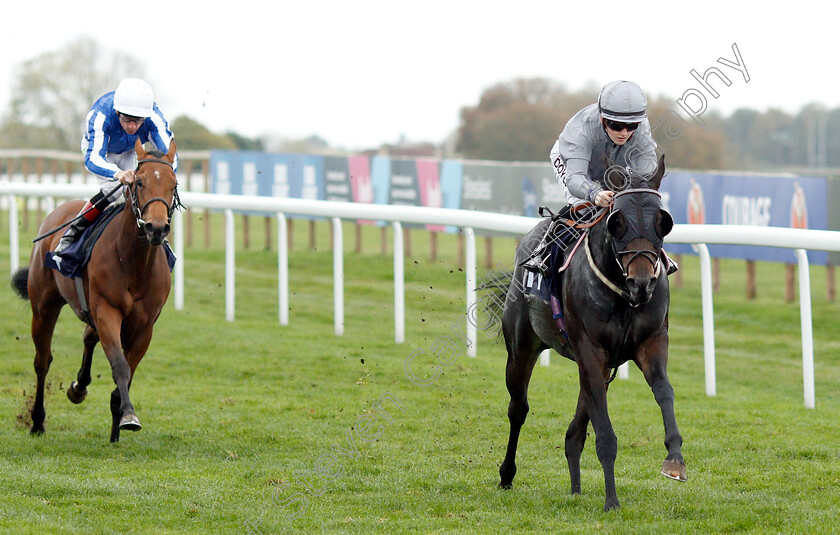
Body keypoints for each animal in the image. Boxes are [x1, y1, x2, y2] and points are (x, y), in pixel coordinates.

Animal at [10, 139, 181, 444]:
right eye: (139, 182)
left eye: (173, 184)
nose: (157, 228)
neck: (133, 262)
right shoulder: (107, 311)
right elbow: (120, 366)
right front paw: (128, 416)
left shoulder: (145, 326)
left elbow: (128, 370)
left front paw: (118, 424)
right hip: (44, 307)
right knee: (42, 361)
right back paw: (38, 421)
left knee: (88, 336)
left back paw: (79, 387)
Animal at [488, 156, 684, 510]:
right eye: (618, 221)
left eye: (662, 221)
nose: (642, 282)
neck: (623, 293)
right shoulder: (590, 351)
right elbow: (604, 432)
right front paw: (612, 501)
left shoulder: (650, 344)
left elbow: (664, 391)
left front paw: (674, 460)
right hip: (522, 347)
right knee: (518, 409)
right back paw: (507, 475)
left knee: (574, 430)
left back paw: (576, 488)